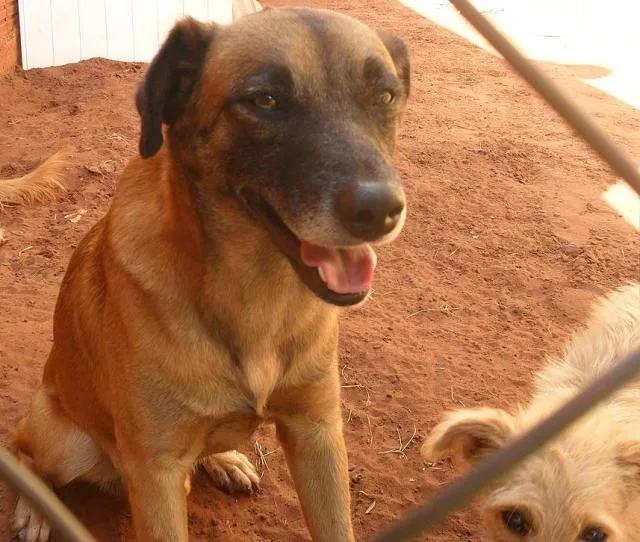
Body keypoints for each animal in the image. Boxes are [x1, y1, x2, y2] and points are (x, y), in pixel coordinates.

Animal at [12, 5, 410, 542]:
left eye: (386, 95)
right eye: (264, 99)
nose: (380, 209)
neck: (259, 295)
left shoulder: (318, 432)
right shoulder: (156, 473)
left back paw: (224, 459)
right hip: (65, 441)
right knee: (22, 451)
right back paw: (33, 509)